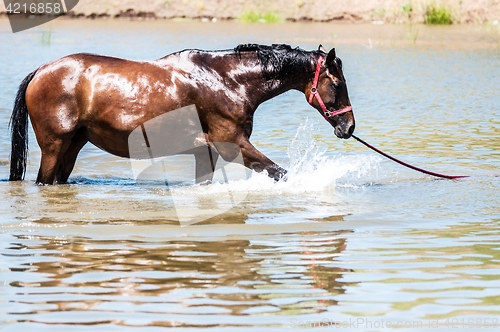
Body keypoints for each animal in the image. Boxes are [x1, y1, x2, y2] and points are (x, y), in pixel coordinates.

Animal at [7, 43, 352, 185]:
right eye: (336, 84)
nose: (348, 126)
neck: (227, 81)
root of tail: (41, 70)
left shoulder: (206, 153)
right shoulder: (232, 145)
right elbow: (281, 172)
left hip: (73, 146)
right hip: (54, 146)